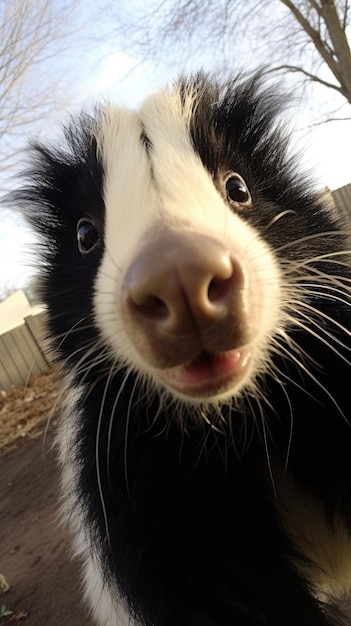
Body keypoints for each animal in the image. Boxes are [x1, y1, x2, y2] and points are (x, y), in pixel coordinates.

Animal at [14, 75, 351, 620]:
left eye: (237, 188)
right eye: (86, 235)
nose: (179, 274)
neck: (237, 420)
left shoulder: (328, 361)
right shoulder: (142, 479)